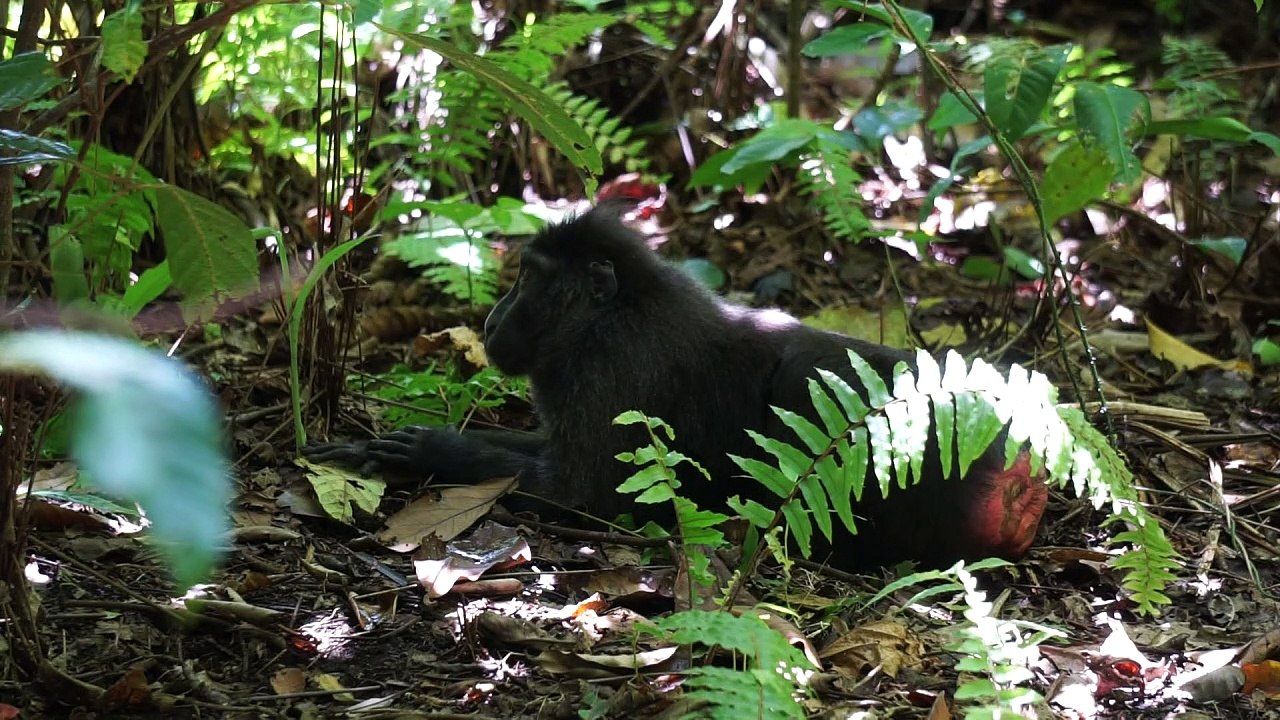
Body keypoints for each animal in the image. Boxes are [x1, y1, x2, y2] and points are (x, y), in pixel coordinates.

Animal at [306, 207, 1047, 570]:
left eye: (528, 278)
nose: (491, 319)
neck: (610, 312)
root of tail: (1018, 468)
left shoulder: (612, 366)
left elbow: (580, 495)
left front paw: (431, 453)